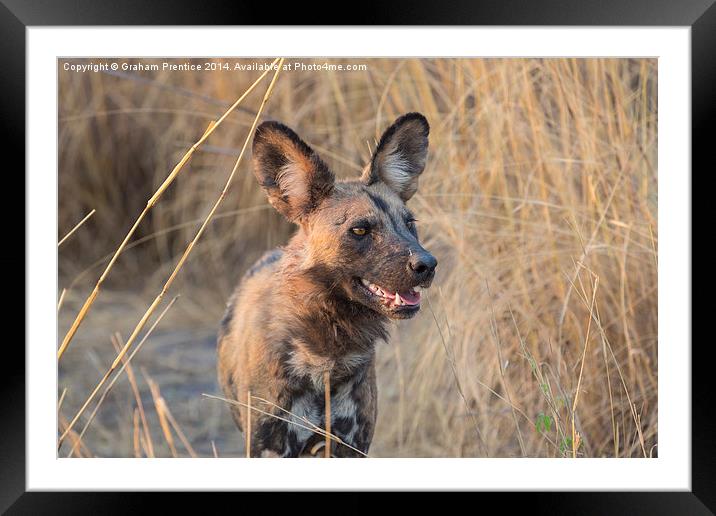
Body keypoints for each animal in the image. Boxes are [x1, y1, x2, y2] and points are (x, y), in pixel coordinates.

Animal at [217, 112, 436, 456]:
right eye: (360, 230)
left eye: (409, 224)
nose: (427, 265)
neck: (327, 354)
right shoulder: (270, 447)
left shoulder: (351, 446)